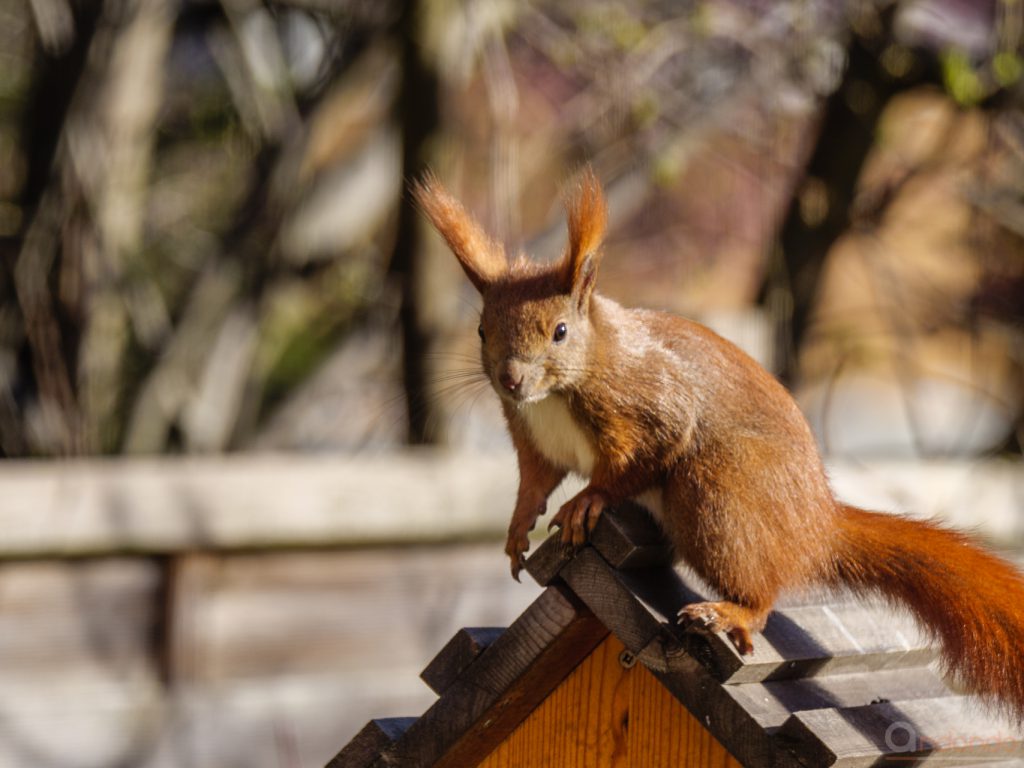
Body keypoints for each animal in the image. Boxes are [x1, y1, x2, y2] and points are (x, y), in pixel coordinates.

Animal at [413, 167, 1024, 720]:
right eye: (482, 331)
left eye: (561, 332)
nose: (511, 380)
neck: (558, 393)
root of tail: (816, 526)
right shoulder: (532, 438)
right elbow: (533, 482)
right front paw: (519, 529)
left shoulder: (648, 402)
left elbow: (645, 454)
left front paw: (589, 500)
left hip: (715, 494)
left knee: (762, 591)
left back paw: (733, 613)